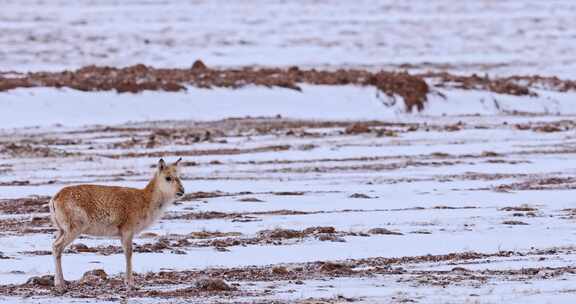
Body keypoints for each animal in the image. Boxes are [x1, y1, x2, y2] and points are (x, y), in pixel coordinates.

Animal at [49, 158, 186, 288]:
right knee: (57, 247)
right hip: (74, 229)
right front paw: (130, 283)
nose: (182, 191)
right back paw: (61, 283)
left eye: (179, 176)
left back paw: (57, 281)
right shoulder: (127, 232)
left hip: (61, 230)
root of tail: (55, 198)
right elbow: (129, 253)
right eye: (168, 177)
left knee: (54, 246)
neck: (145, 199)